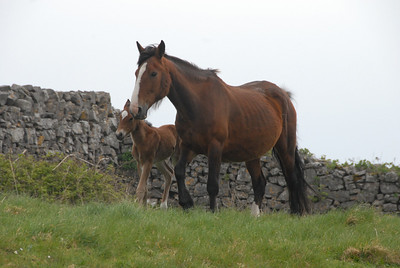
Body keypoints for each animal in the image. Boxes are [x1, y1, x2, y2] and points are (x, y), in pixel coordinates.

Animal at [130, 40, 308, 216]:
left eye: (153, 73)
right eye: (136, 73)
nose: (135, 109)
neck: (198, 104)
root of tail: (283, 94)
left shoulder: (215, 147)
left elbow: (212, 185)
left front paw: (212, 212)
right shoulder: (187, 146)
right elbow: (179, 171)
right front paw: (187, 203)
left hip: (285, 147)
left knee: (292, 178)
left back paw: (295, 213)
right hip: (252, 154)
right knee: (259, 183)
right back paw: (255, 215)